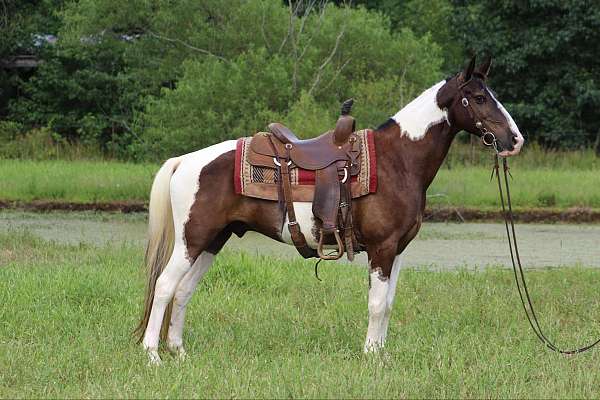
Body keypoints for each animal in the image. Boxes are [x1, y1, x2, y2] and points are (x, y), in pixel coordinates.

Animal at [134, 54, 524, 364]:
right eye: (478, 98)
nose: (515, 140)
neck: (397, 160)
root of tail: (184, 161)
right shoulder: (382, 248)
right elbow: (376, 303)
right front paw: (371, 356)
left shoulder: (398, 250)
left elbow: (389, 302)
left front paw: (382, 353)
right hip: (192, 240)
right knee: (165, 286)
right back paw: (153, 355)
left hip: (214, 239)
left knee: (183, 290)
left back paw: (179, 351)